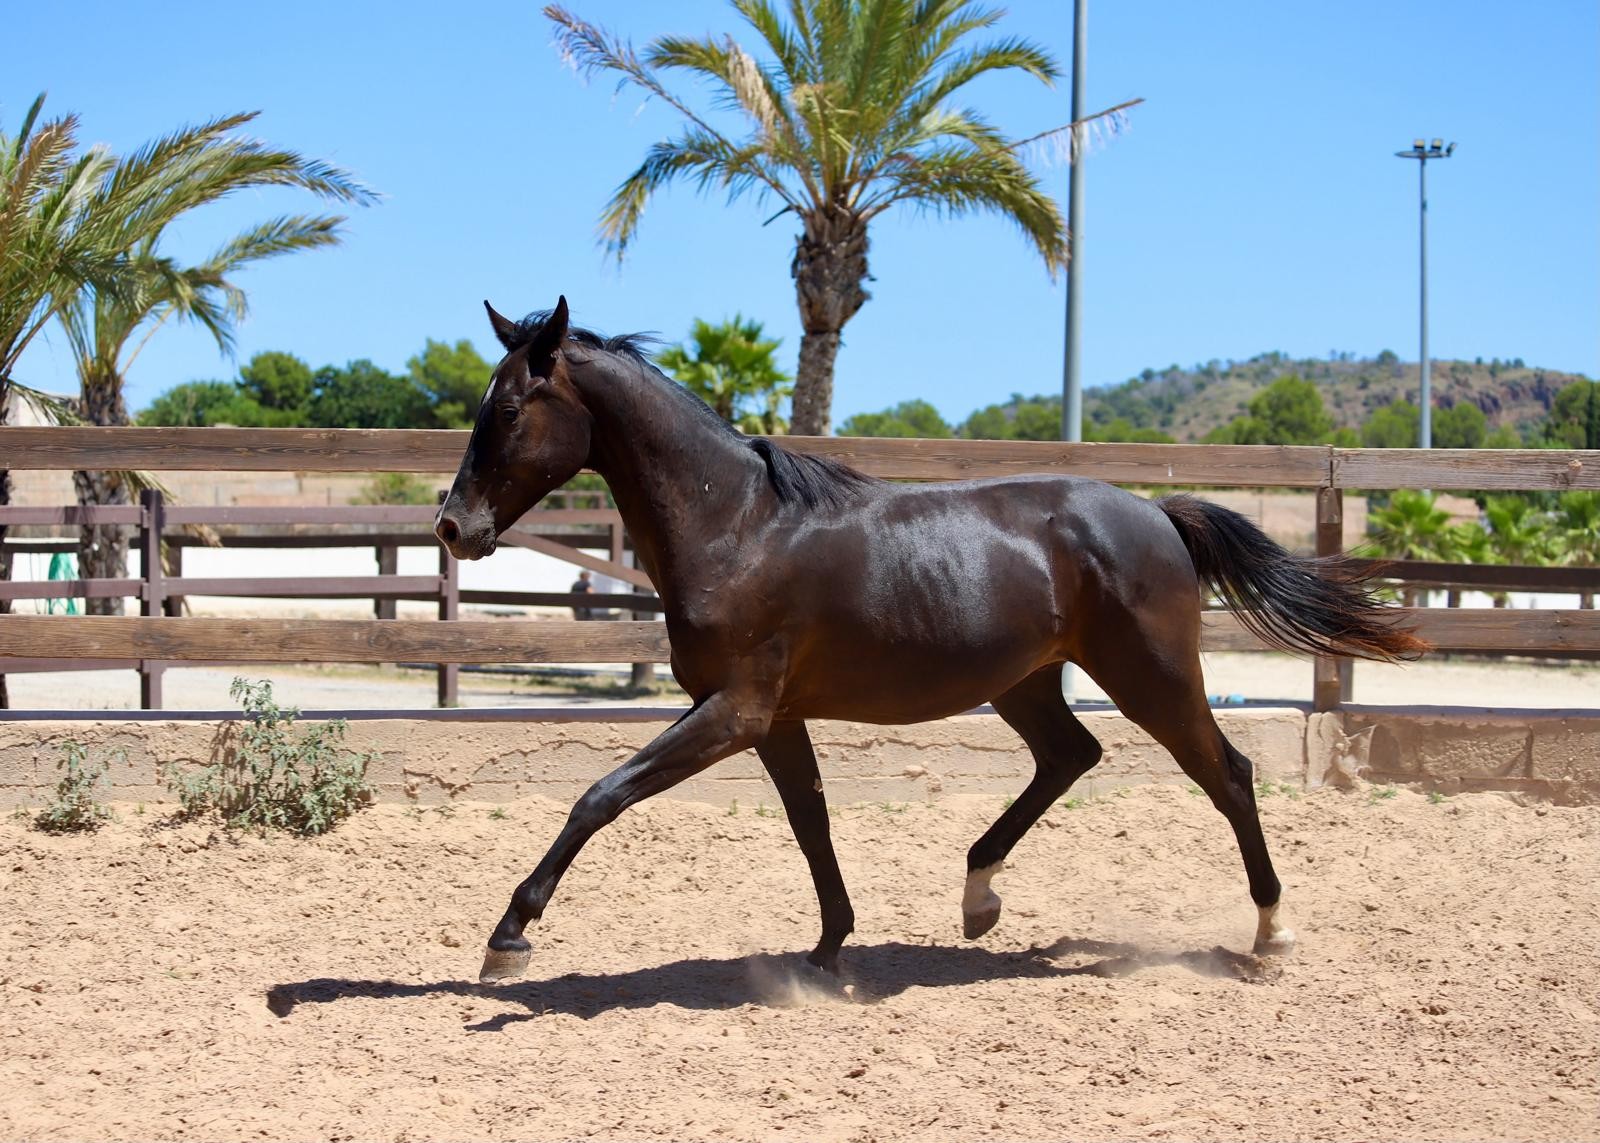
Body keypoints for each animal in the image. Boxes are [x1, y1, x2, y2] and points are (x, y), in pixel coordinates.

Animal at [436, 296, 1425, 985]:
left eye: (511, 409)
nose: (454, 527)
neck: (737, 525)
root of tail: (1156, 513)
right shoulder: (772, 718)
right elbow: (811, 822)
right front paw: (829, 947)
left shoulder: (735, 709)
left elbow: (600, 795)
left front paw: (508, 936)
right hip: (1026, 681)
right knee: (1071, 755)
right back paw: (979, 896)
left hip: (1152, 675)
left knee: (1228, 774)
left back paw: (1271, 933)